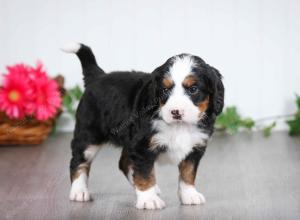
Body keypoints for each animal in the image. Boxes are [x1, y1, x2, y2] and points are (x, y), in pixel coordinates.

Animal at [62, 43, 224, 210]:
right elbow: (145, 173)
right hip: (89, 136)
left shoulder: (195, 149)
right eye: (165, 90)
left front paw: (189, 195)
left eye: (193, 89)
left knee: (124, 163)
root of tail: (98, 76)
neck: (179, 126)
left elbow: (188, 173)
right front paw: (148, 199)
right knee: (78, 161)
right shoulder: (142, 147)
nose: (175, 112)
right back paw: (79, 191)